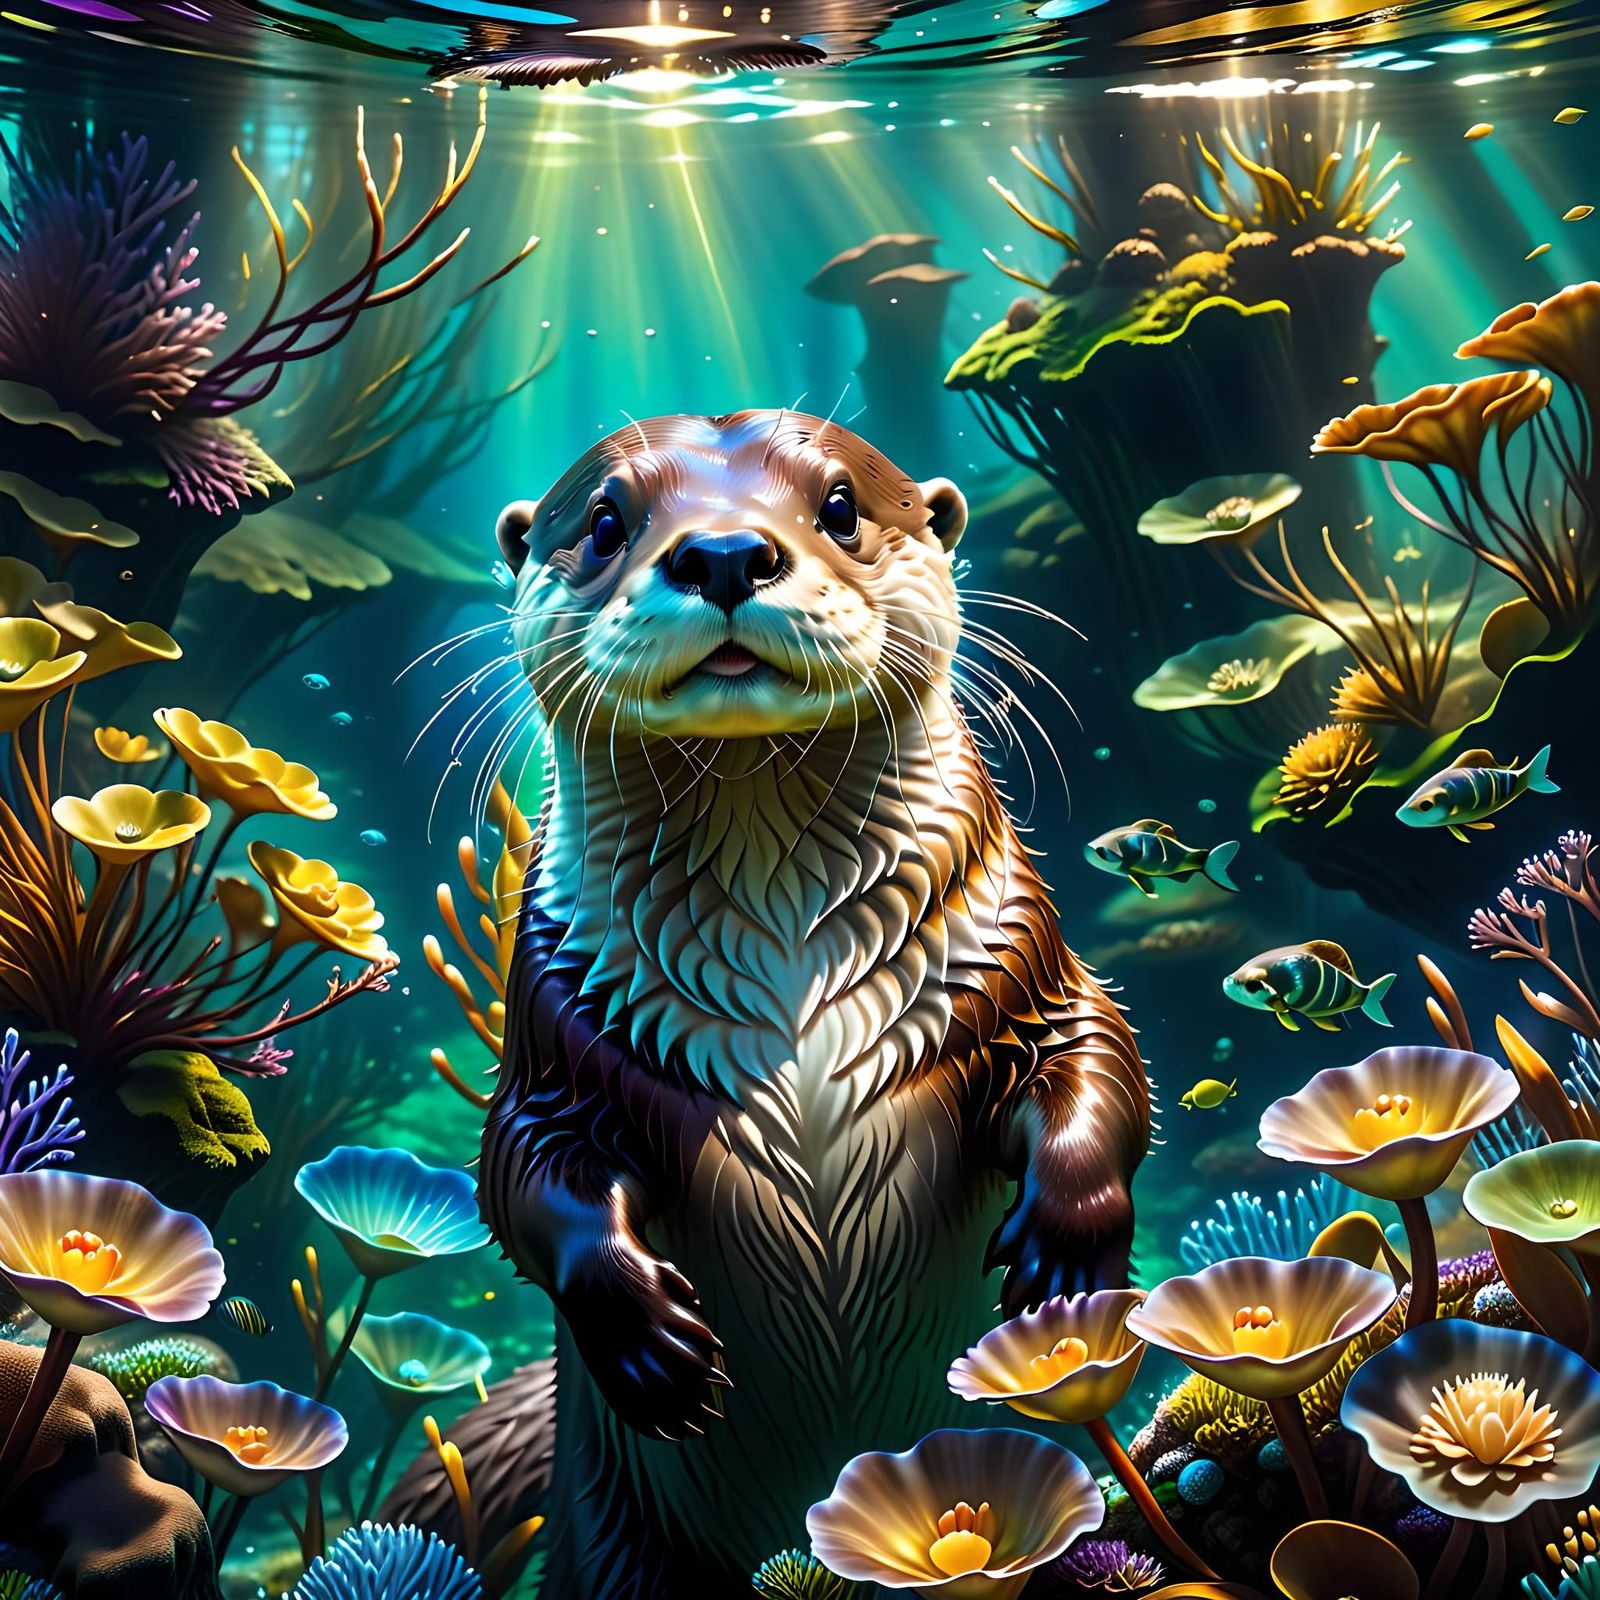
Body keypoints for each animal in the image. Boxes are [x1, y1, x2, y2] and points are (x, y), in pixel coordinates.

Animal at [390, 412, 1151, 1596]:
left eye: (839, 505)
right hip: (613, 1545)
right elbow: (523, 1174)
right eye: (603, 520)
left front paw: (1065, 1262)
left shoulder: (1019, 962)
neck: (792, 1007)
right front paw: (648, 1340)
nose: (722, 553)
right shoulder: (560, 1032)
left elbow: (1096, 1057)